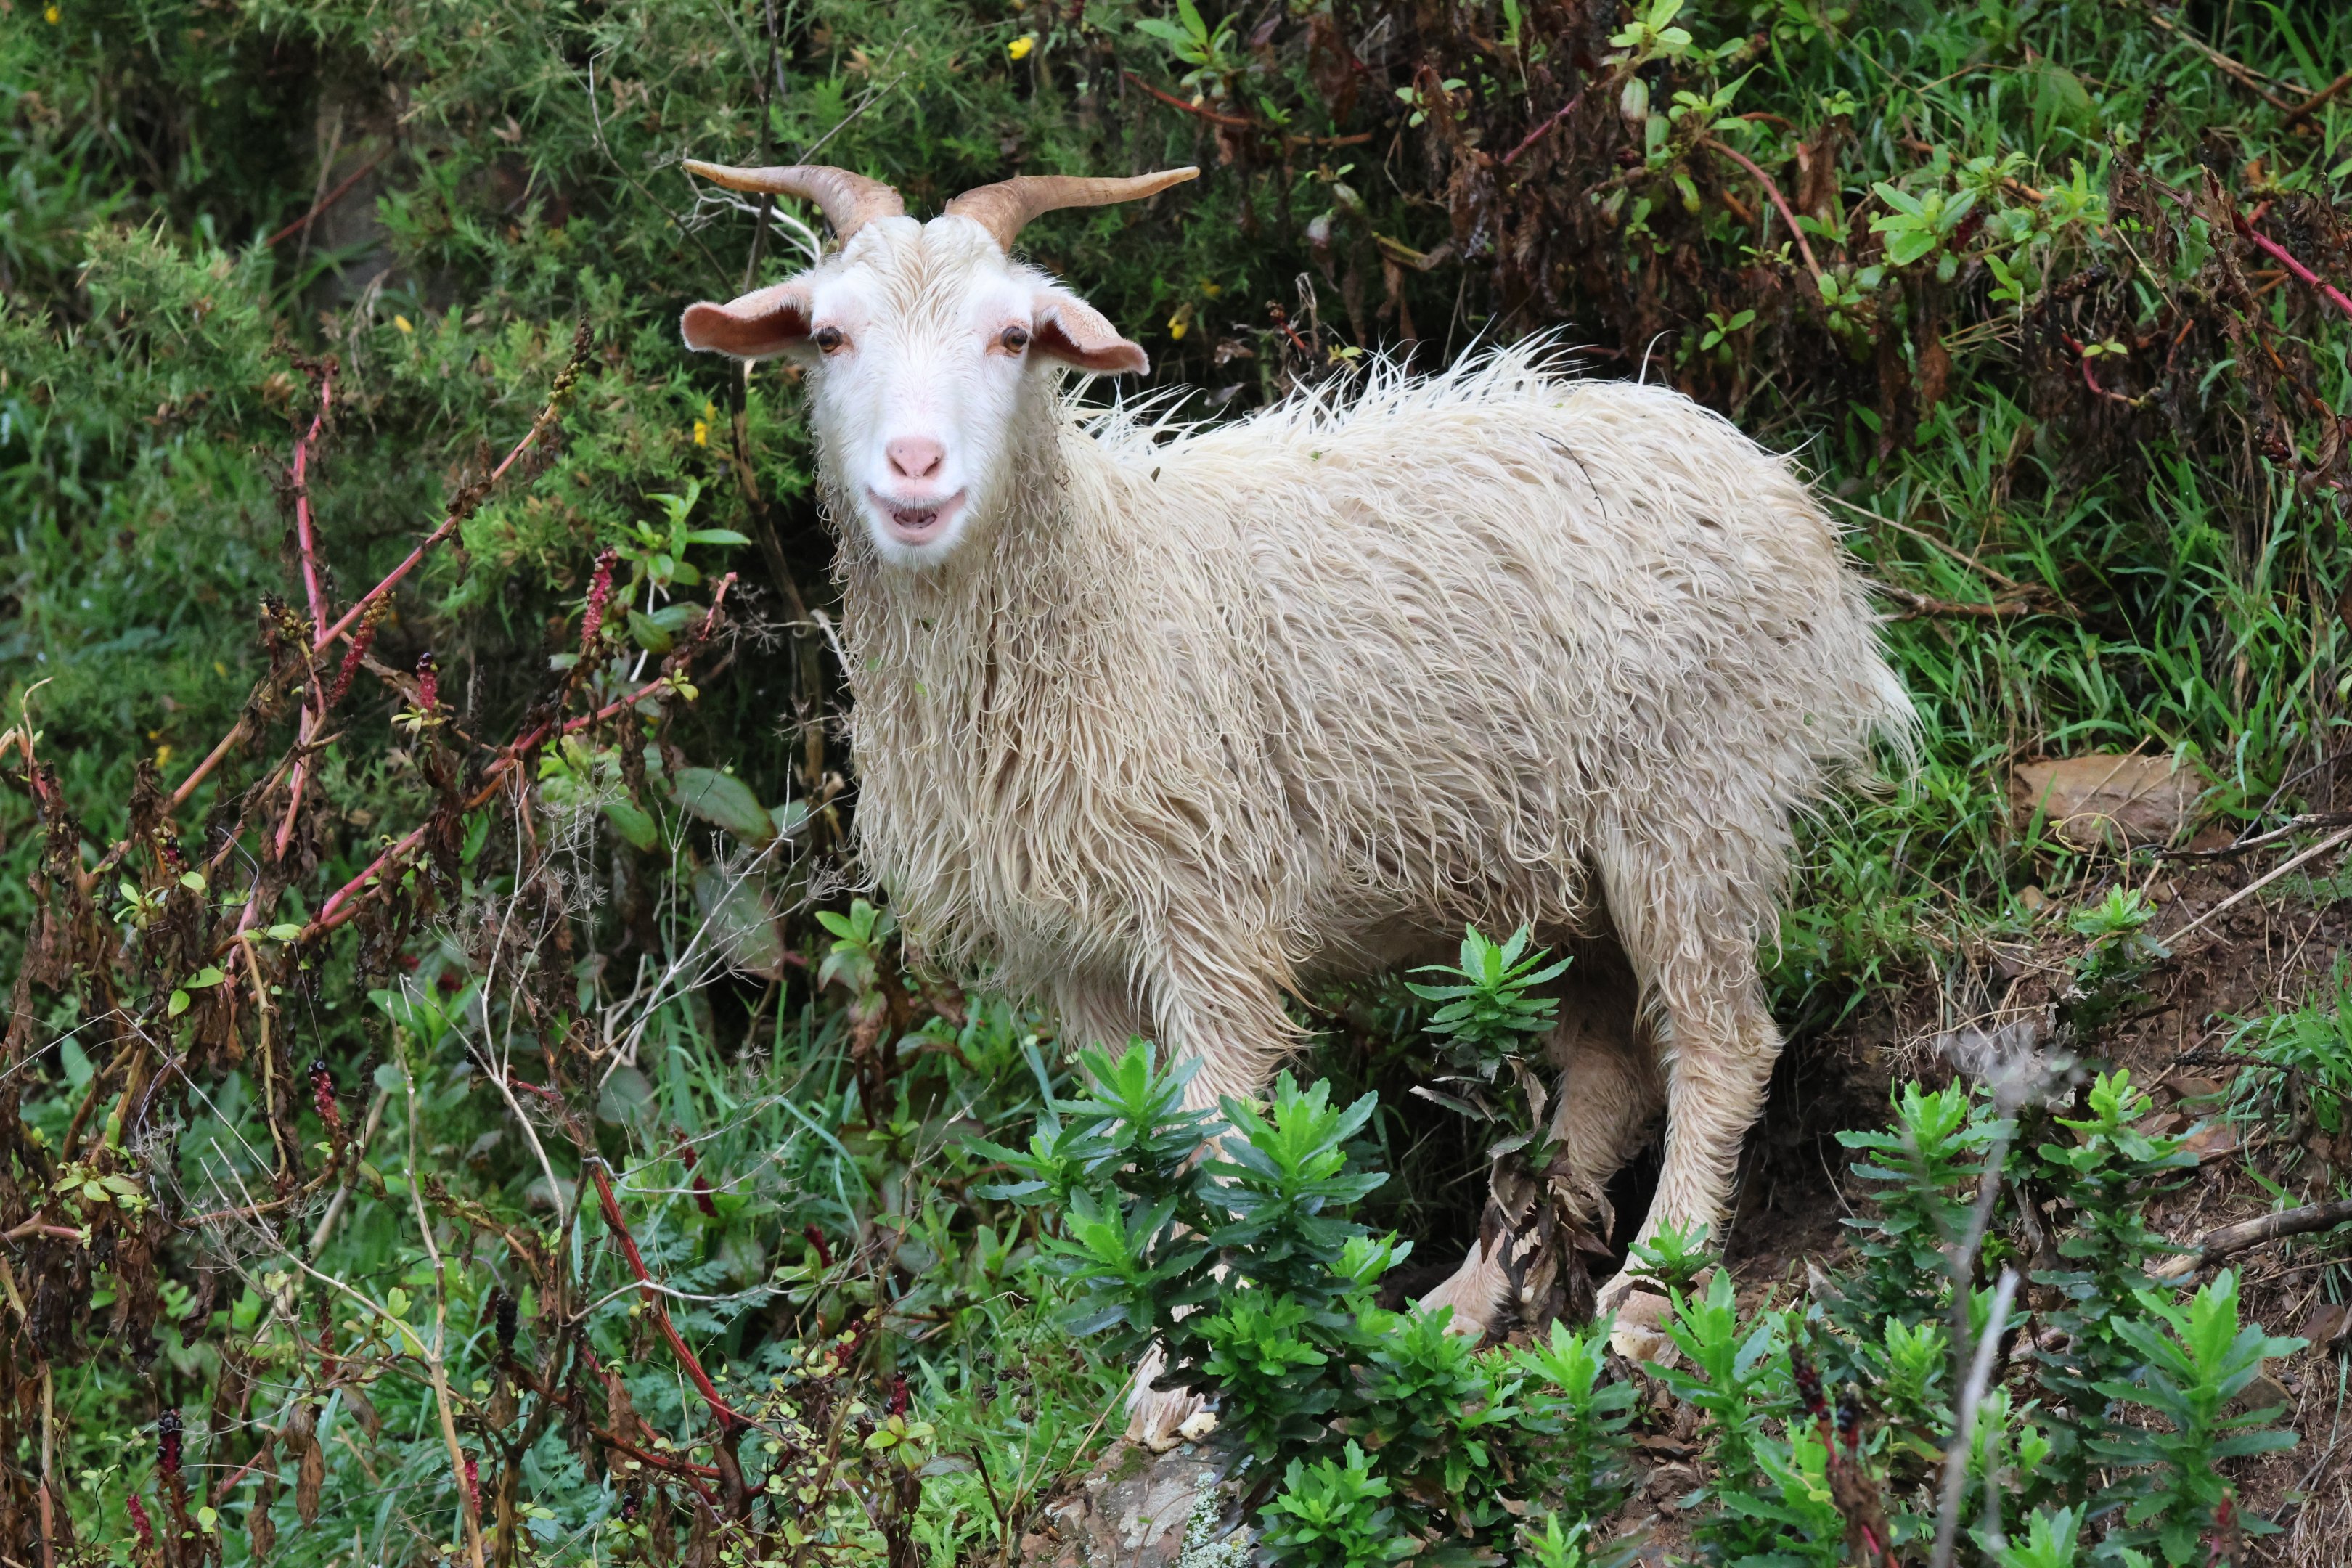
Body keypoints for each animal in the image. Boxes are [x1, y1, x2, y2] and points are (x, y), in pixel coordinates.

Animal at [678, 161, 1914, 1447]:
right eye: (829, 336)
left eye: (1012, 336)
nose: (914, 472)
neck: (1102, 578)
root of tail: (1792, 512)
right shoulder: (1074, 955)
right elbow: (1137, 1151)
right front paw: (1170, 1330)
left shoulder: (1208, 910)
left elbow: (1218, 1138)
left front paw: (1191, 1369)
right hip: (1567, 863)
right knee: (1609, 1068)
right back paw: (1467, 1302)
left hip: (1692, 806)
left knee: (1724, 1043)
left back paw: (1653, 1294)